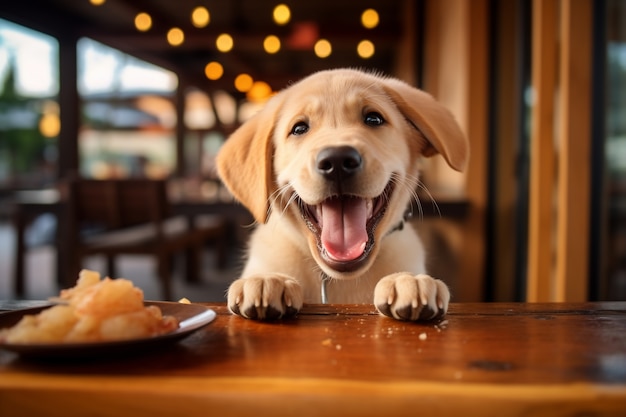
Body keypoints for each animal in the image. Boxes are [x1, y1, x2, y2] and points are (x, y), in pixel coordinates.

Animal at [217, 70, 466, 320]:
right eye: (299, 128)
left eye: (374, 119)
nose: (337, 161)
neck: (337, 279)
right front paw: (268, 279)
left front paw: (408, 280)